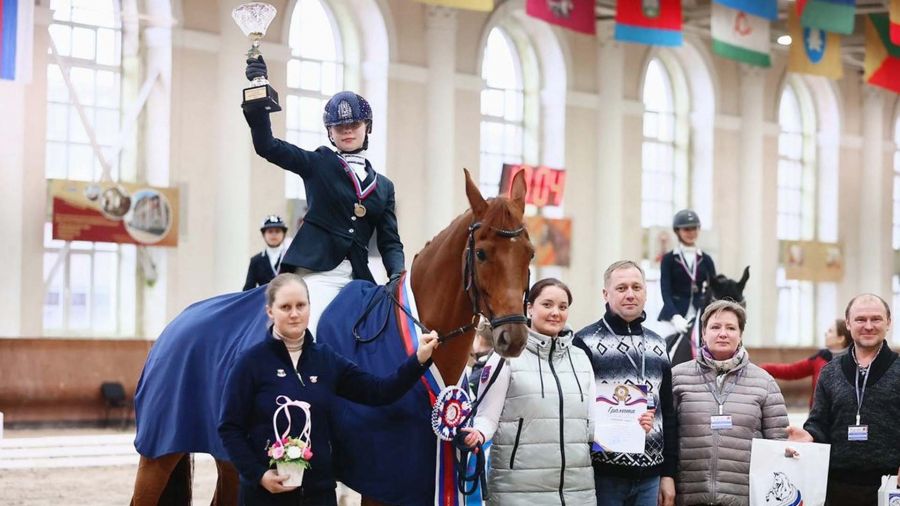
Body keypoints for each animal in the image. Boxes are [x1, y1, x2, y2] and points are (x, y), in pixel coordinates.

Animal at [134, 168, 536, 504]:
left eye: (529, 254)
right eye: (481, 254)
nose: (513, 337)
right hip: (159, 454)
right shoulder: (384, 479)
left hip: (233, 457)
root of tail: (174, 326)